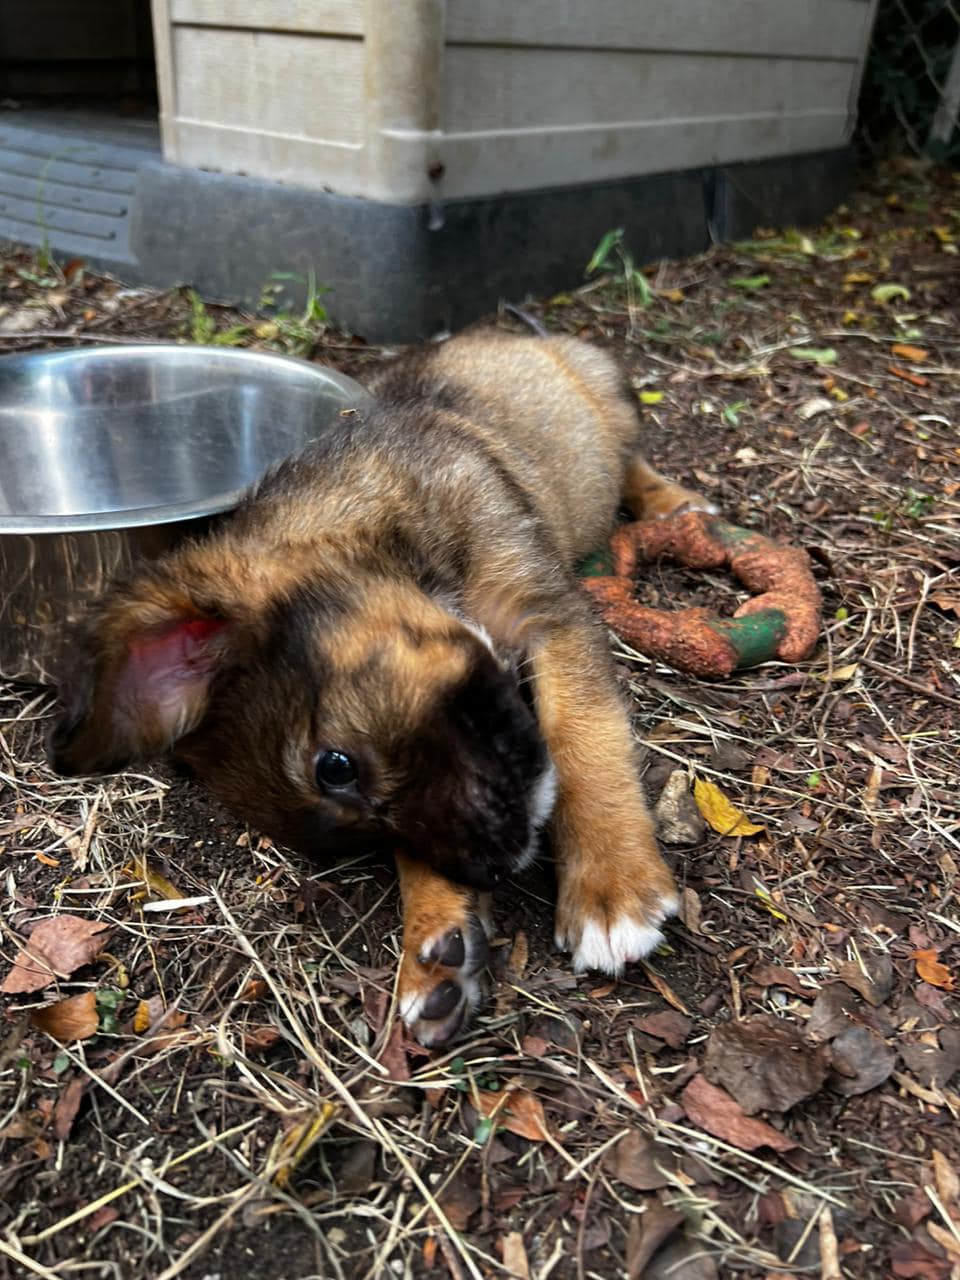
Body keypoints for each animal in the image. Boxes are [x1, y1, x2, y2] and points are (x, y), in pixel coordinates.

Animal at [52, 335, 716, 1044]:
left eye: (335, 767)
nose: (499, 869)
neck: (383, 534)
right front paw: (434, 937)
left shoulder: (551, 617)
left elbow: (586, 745)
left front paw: (610, 887)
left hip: (608, 398)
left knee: (630, 458)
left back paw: (674, 502)